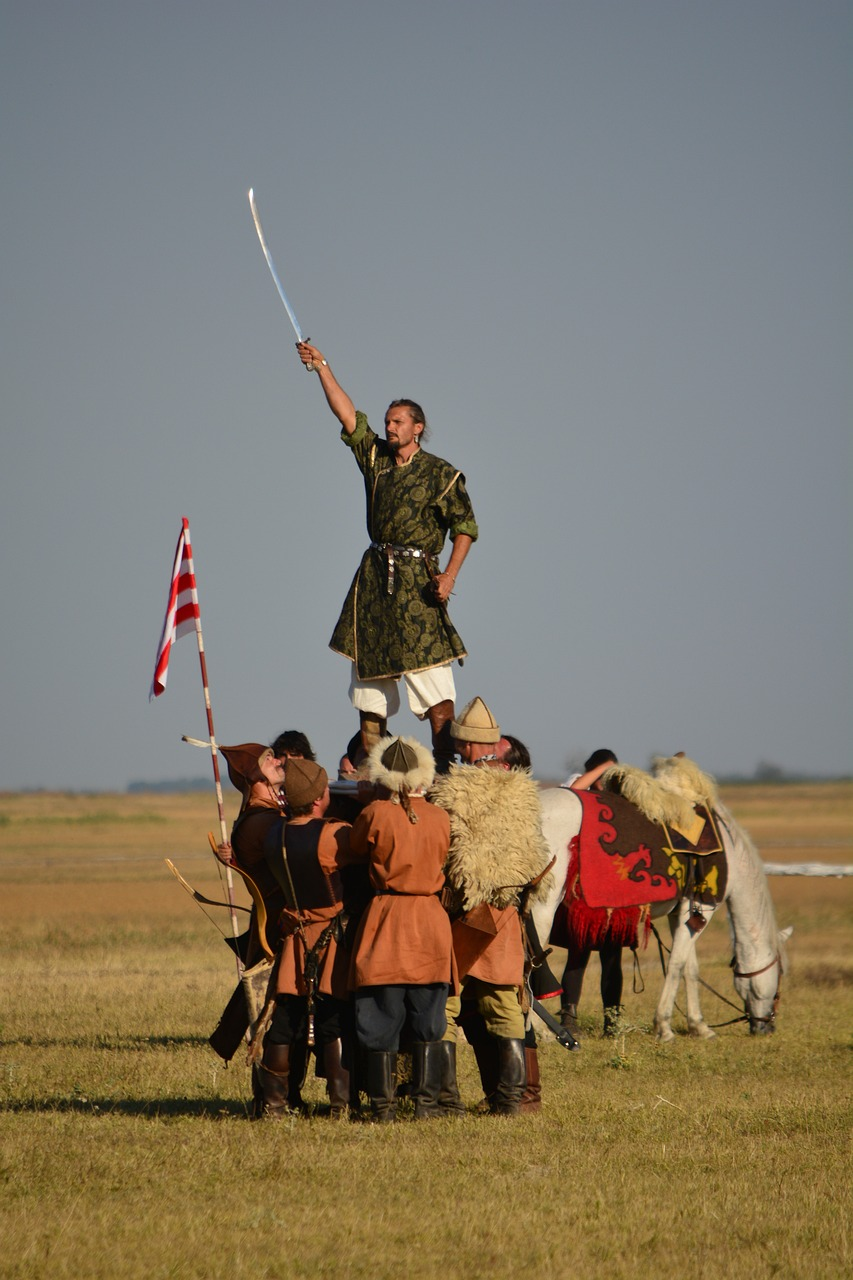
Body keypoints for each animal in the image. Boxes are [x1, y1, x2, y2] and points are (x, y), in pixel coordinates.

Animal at [527, 788, 788, 1039]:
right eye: (781, 975)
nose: (767, 1027)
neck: (730, 850)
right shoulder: (704, 908)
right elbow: (676, 965)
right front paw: (663, 1026)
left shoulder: (683, 912)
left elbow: (690, 968)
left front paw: (699, 1026)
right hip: (542, 907)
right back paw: (541, 1030)